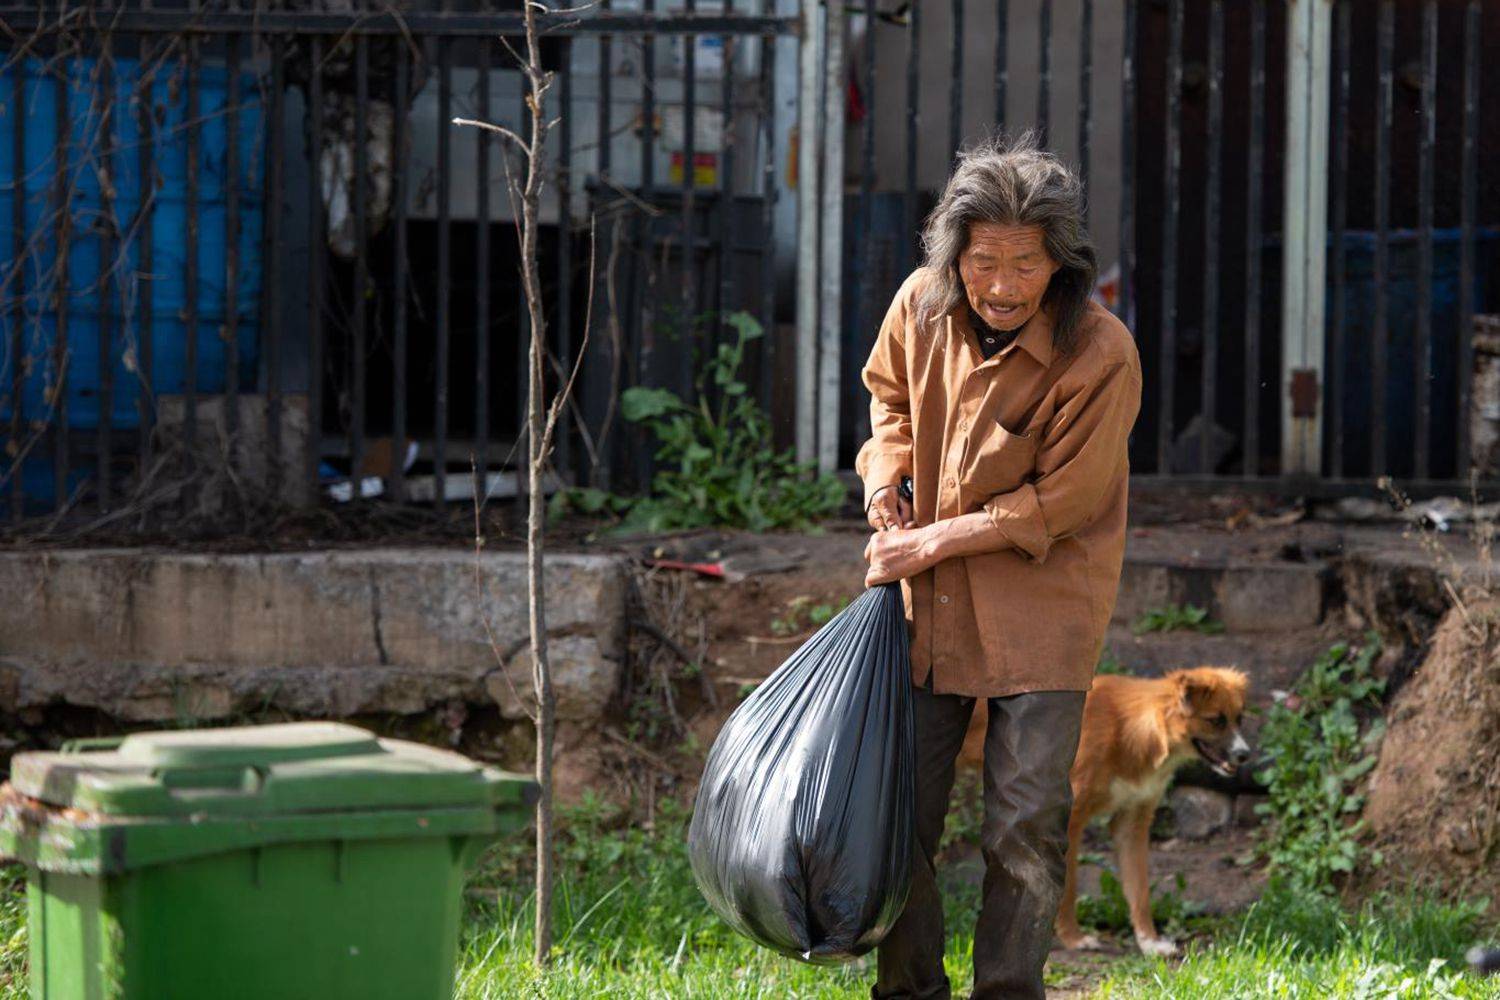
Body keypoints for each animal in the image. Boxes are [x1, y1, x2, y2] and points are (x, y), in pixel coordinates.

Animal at [1056, 668, 1254, 959]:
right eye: (1215, 720)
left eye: (1239, 719)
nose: (1245, 754)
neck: (1130, 730)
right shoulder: (1070, 821)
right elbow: (1068, 887)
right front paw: (1073, 938)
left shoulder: (1132, 823)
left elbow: (1140, 891)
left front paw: (1149, 942)